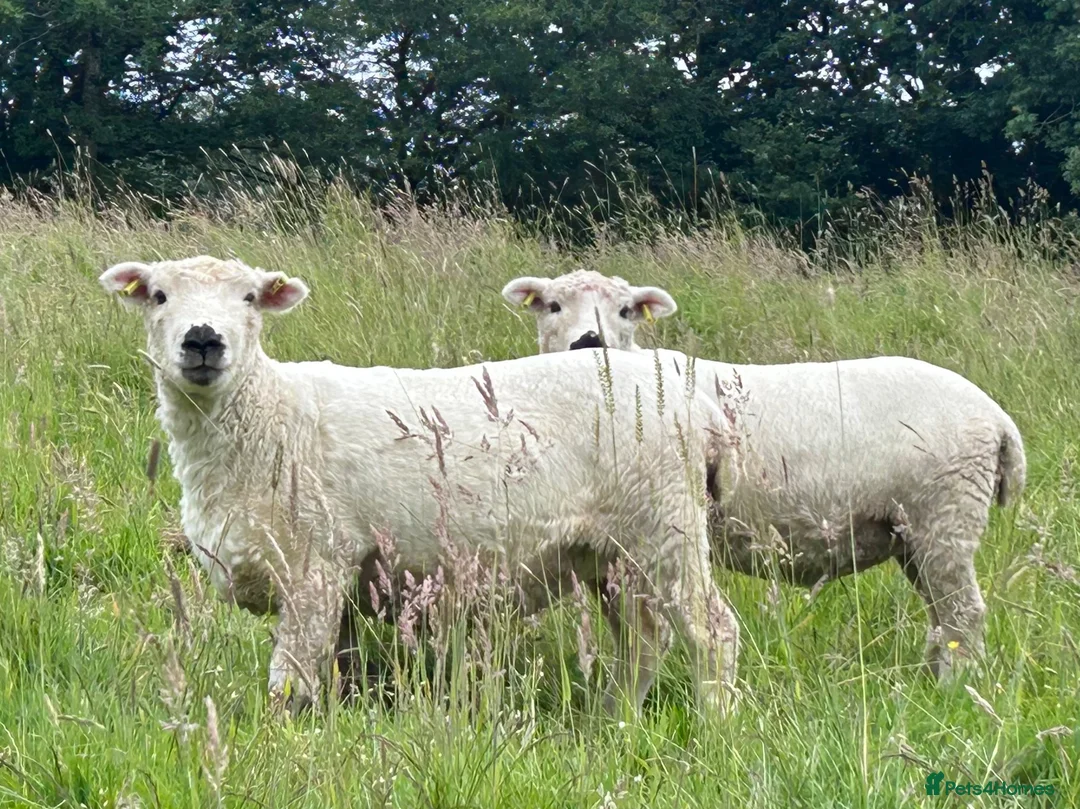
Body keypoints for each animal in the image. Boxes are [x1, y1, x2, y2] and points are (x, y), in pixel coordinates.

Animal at [99, 255, 741, 715]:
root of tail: (695, 399)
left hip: (665, 526)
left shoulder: (315, 564)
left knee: (712, 629)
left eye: (250, 298)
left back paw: (717, 723)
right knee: (642, 640)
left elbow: (290, 685)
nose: (203, 339)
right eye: (159, 296)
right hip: (612, 552)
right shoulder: (344, 575)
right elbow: (343, 666)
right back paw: (616, 719)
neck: (268, 414)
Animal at [502, 270, 1026, 679]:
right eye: (552, 305)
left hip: (945, 517)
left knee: (964, 616)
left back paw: (954, 690)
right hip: (913, 533)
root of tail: (999, 420)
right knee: (943, 620)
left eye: (626, 311)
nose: (589, 340)